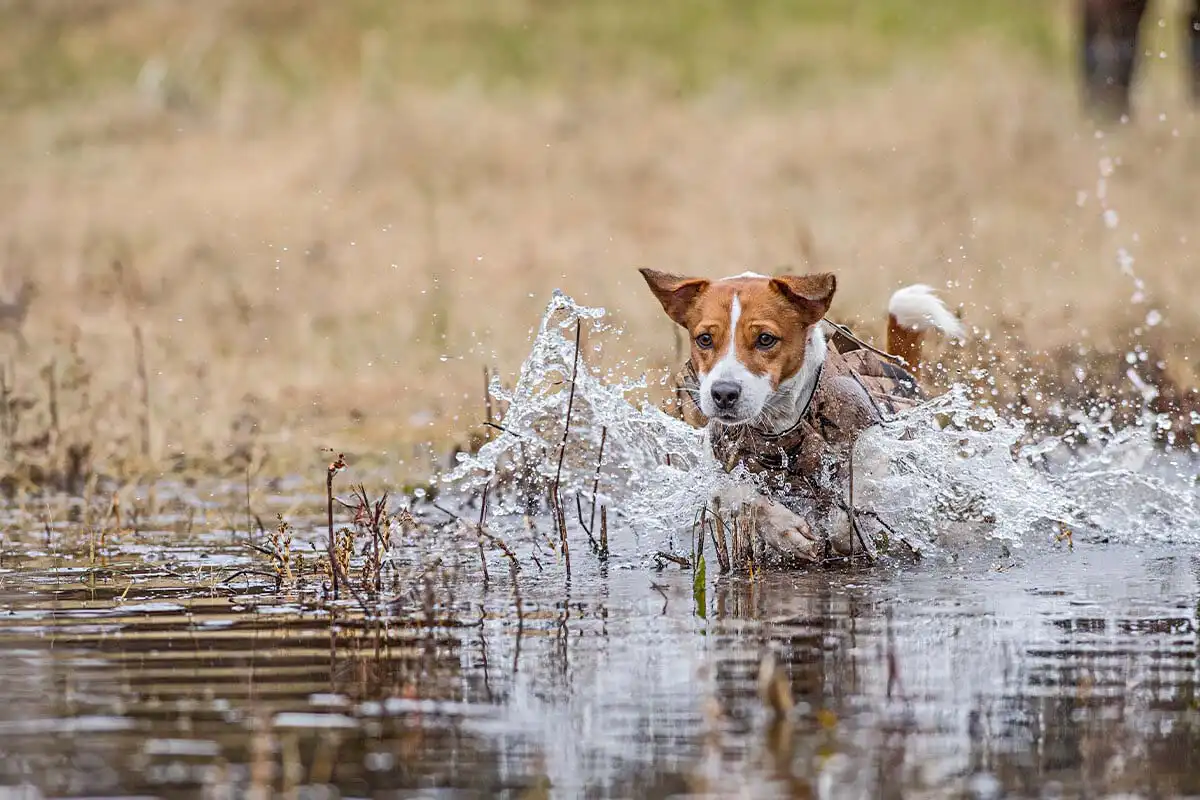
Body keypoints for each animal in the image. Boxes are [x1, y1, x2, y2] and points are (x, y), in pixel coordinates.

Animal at [638, 268, 964, 563]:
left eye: (765, 339)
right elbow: (739, 493)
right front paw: (787, 532)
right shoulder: (719, 463)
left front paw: (846, 531)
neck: (778, 427)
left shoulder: (871, 448)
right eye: (704, 339)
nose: (723, 393)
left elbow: (857, 498)